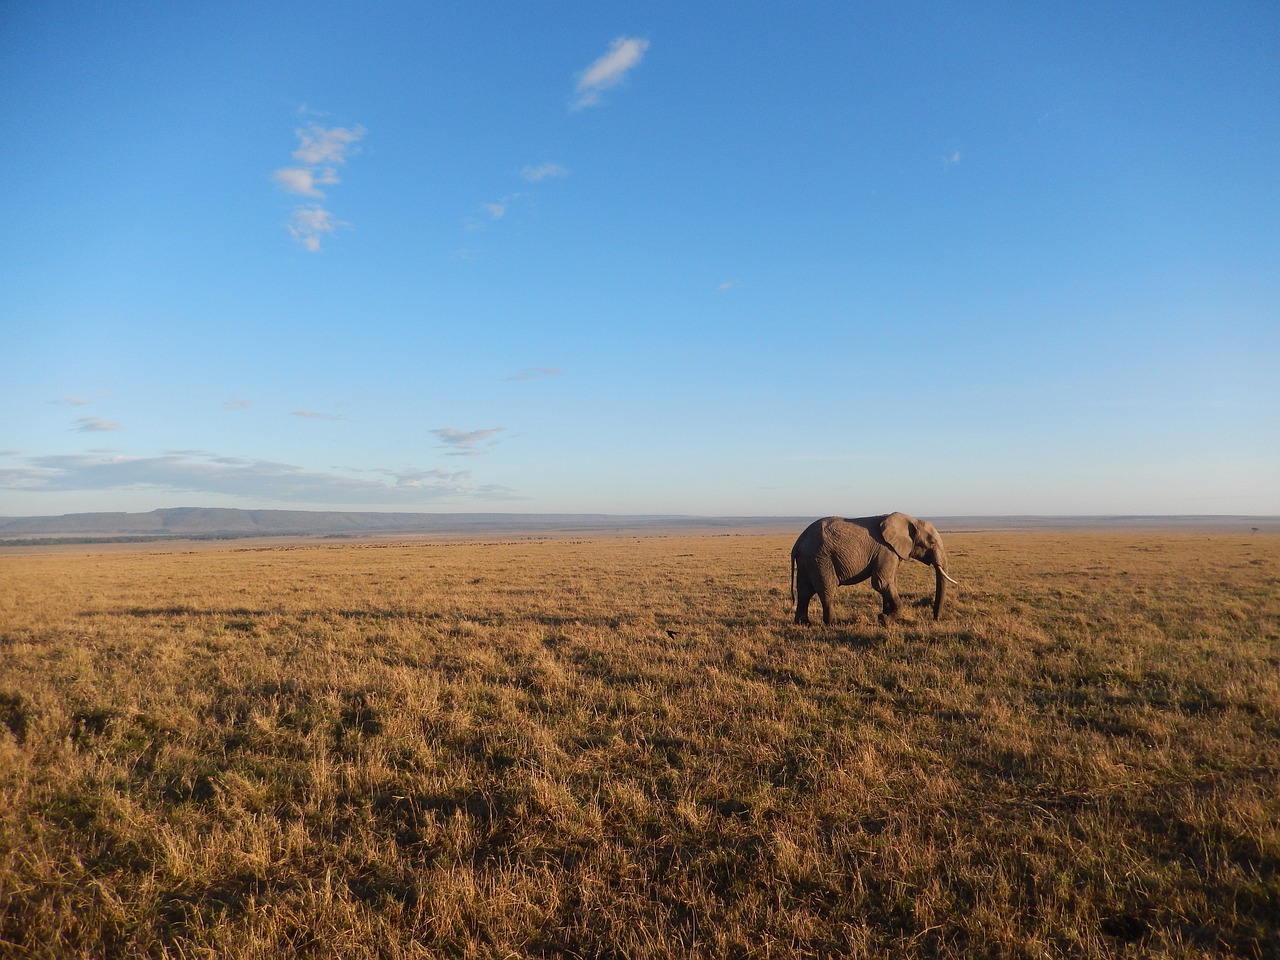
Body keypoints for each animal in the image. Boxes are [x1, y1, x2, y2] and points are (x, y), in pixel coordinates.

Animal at [788, 514, 962, 627]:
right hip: (820, 558)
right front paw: (885, 620)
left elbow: (890, 582)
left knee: (804, 591)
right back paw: (832, 624)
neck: (911, 519)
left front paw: (886, 617)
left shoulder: (892, 551)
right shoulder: (886, 550)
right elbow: (881, 582)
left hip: (808, 560)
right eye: (931, 543)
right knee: (826, 589)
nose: (935, 619)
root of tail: (798, 542)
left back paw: (803, 623)